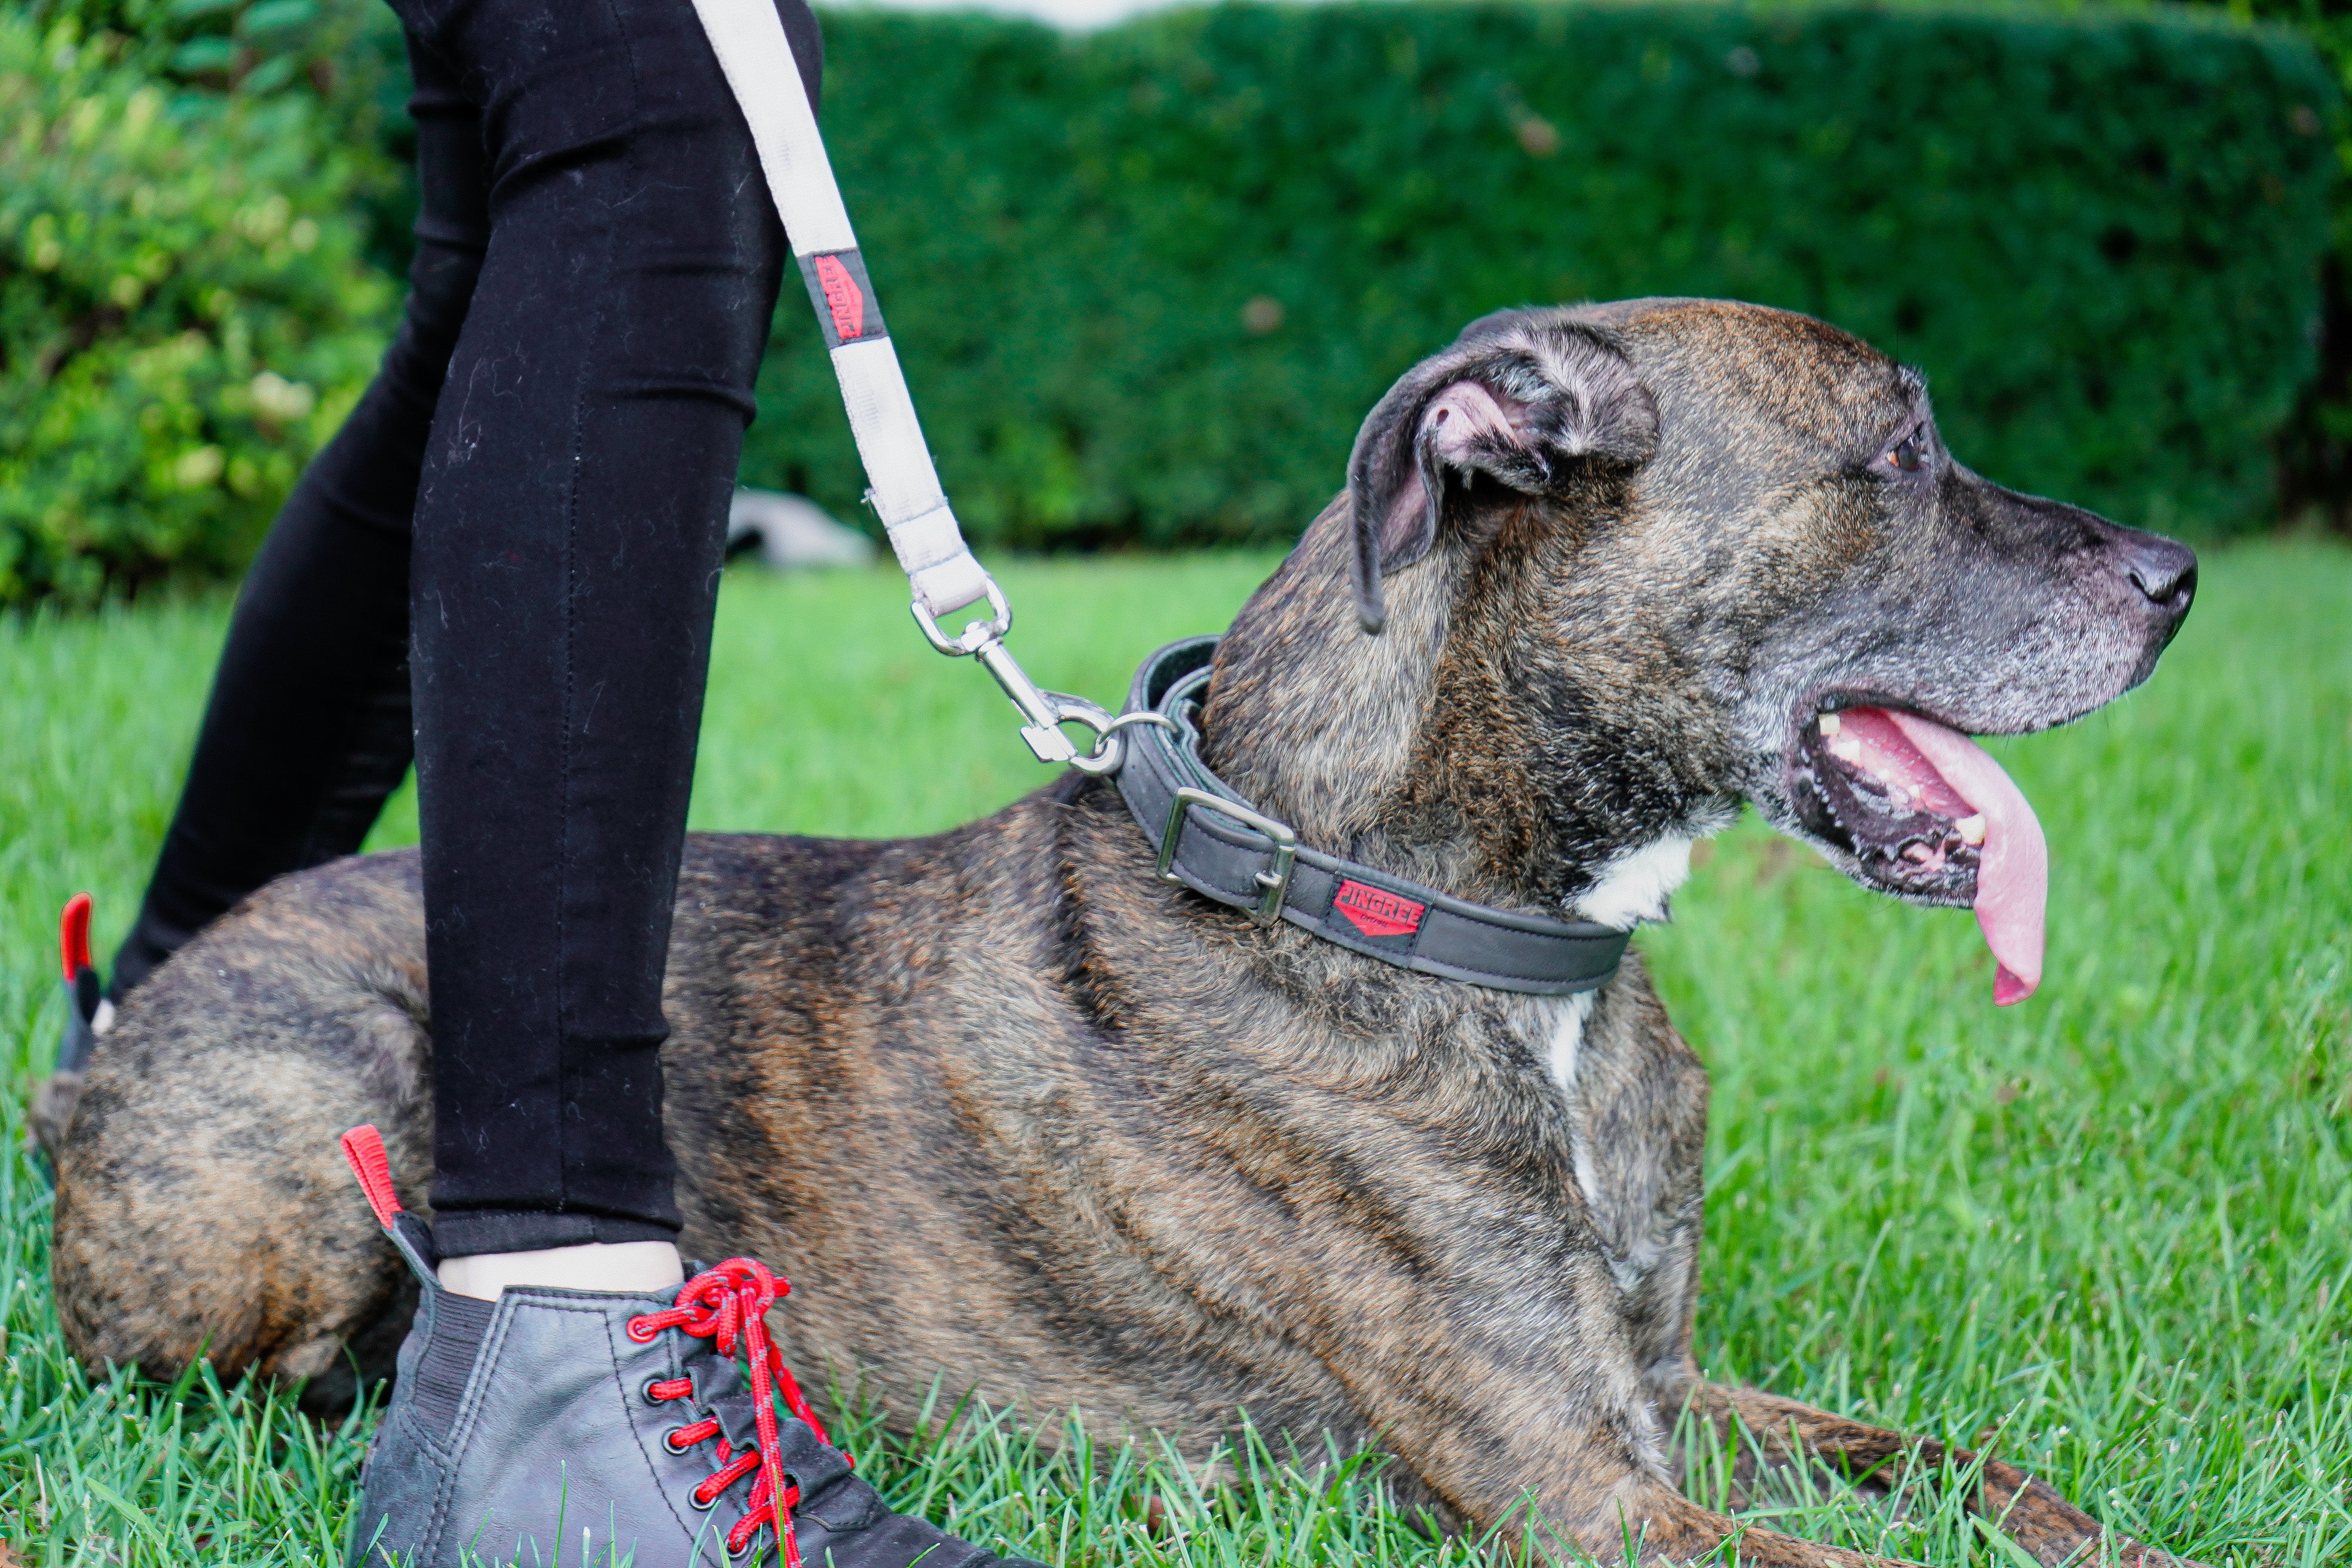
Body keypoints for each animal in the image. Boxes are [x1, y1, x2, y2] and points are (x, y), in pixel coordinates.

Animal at [45, 301, 2192, 1561]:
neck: (1453, 924)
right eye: (1895, 460)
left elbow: (1984, 1483)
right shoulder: (1575, 1484)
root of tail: (102, 1049)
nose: (2176, 576)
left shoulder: (1656, 1403)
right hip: (312, 1132)